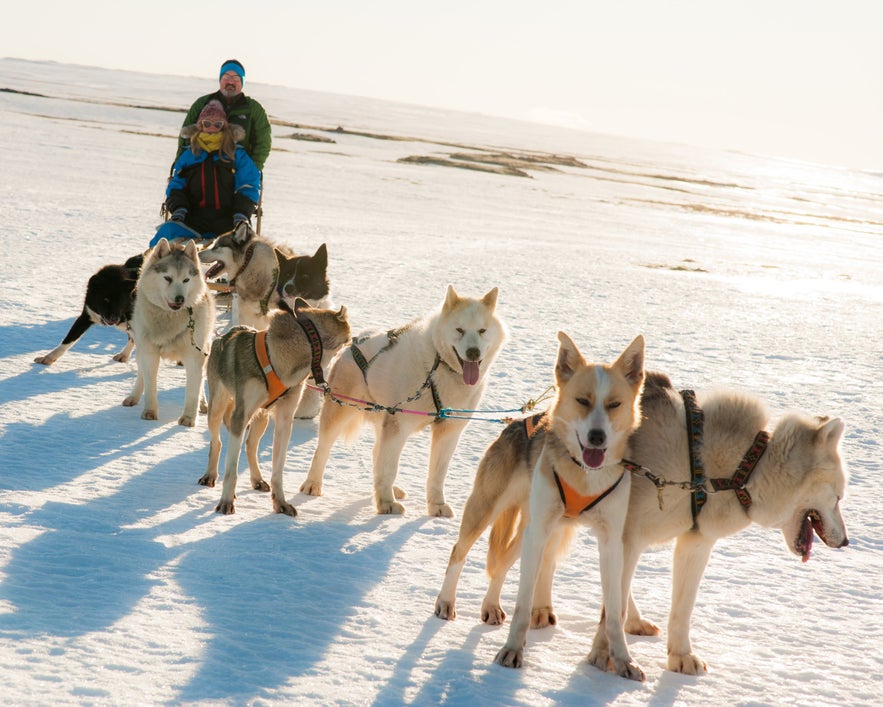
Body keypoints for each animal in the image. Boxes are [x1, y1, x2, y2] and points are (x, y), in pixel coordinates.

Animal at [121, 238, 215, 426]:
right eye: (167, 278)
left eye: (186, 280)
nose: (180, 299)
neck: (169, 319)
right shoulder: (149, 354)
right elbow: (150, 386)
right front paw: (150, 412)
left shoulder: (194, 357)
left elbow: (193, 391)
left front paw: (189, 418)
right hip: (141, 350)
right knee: (141, 376)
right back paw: (134, 397)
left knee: (201, 382)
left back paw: (203, 404)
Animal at [199, 296, 350, 516]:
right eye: (349, 340)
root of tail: (223, 336)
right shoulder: (240, 417)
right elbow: (231, 470)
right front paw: (226, 501)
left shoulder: (285, 420)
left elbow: (278, 469)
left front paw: (280, 503)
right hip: (218, 407)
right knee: (216, 442)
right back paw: (210, 474)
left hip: (261, 417)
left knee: (250, 446)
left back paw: (257, 479)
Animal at [302, 284, 504, 516]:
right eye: (459, 330)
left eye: (482, 331)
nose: (473, 352)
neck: (438, 365)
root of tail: (354, 341)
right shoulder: (399, 424)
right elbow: (389, 468)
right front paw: (386, 503)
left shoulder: (449, 431)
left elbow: (437, 473)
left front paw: (436, 505)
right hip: (342, 412)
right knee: (324, 449)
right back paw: (313, 483)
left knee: (377, 453)